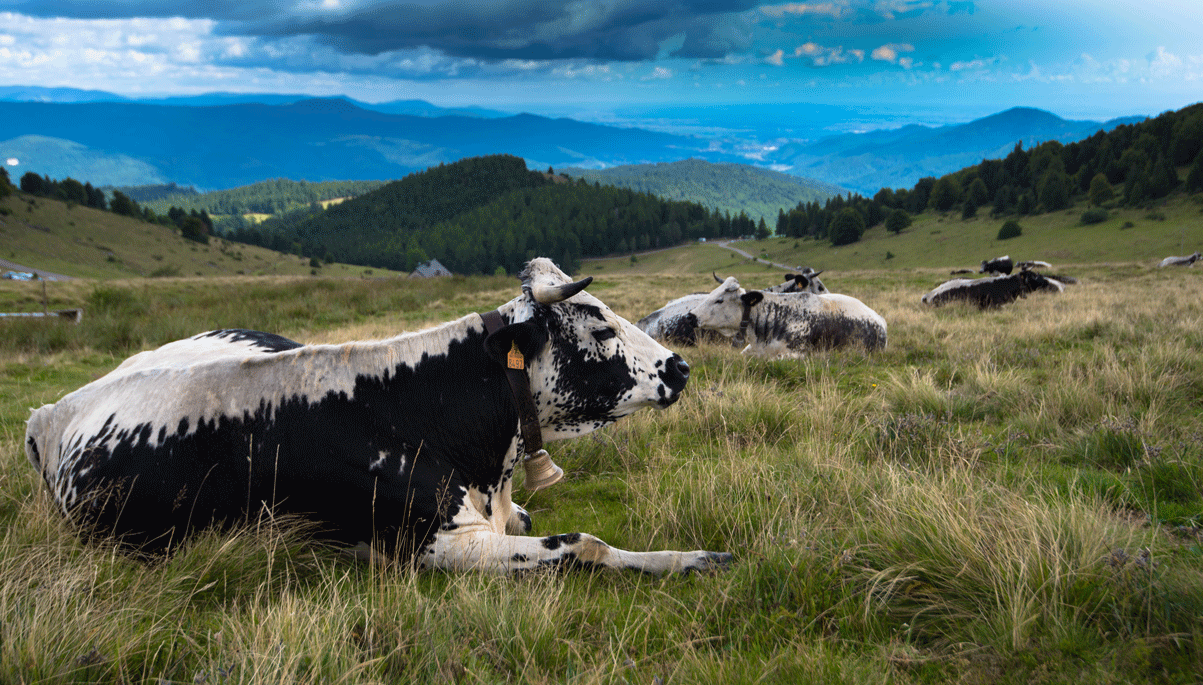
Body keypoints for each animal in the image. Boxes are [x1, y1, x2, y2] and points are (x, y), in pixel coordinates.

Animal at [25, 258, 731, 575]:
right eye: (599, 325)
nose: (679, 367)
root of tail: (52, 412)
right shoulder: (439, 545)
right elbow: (585, 543)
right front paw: (685, 559)